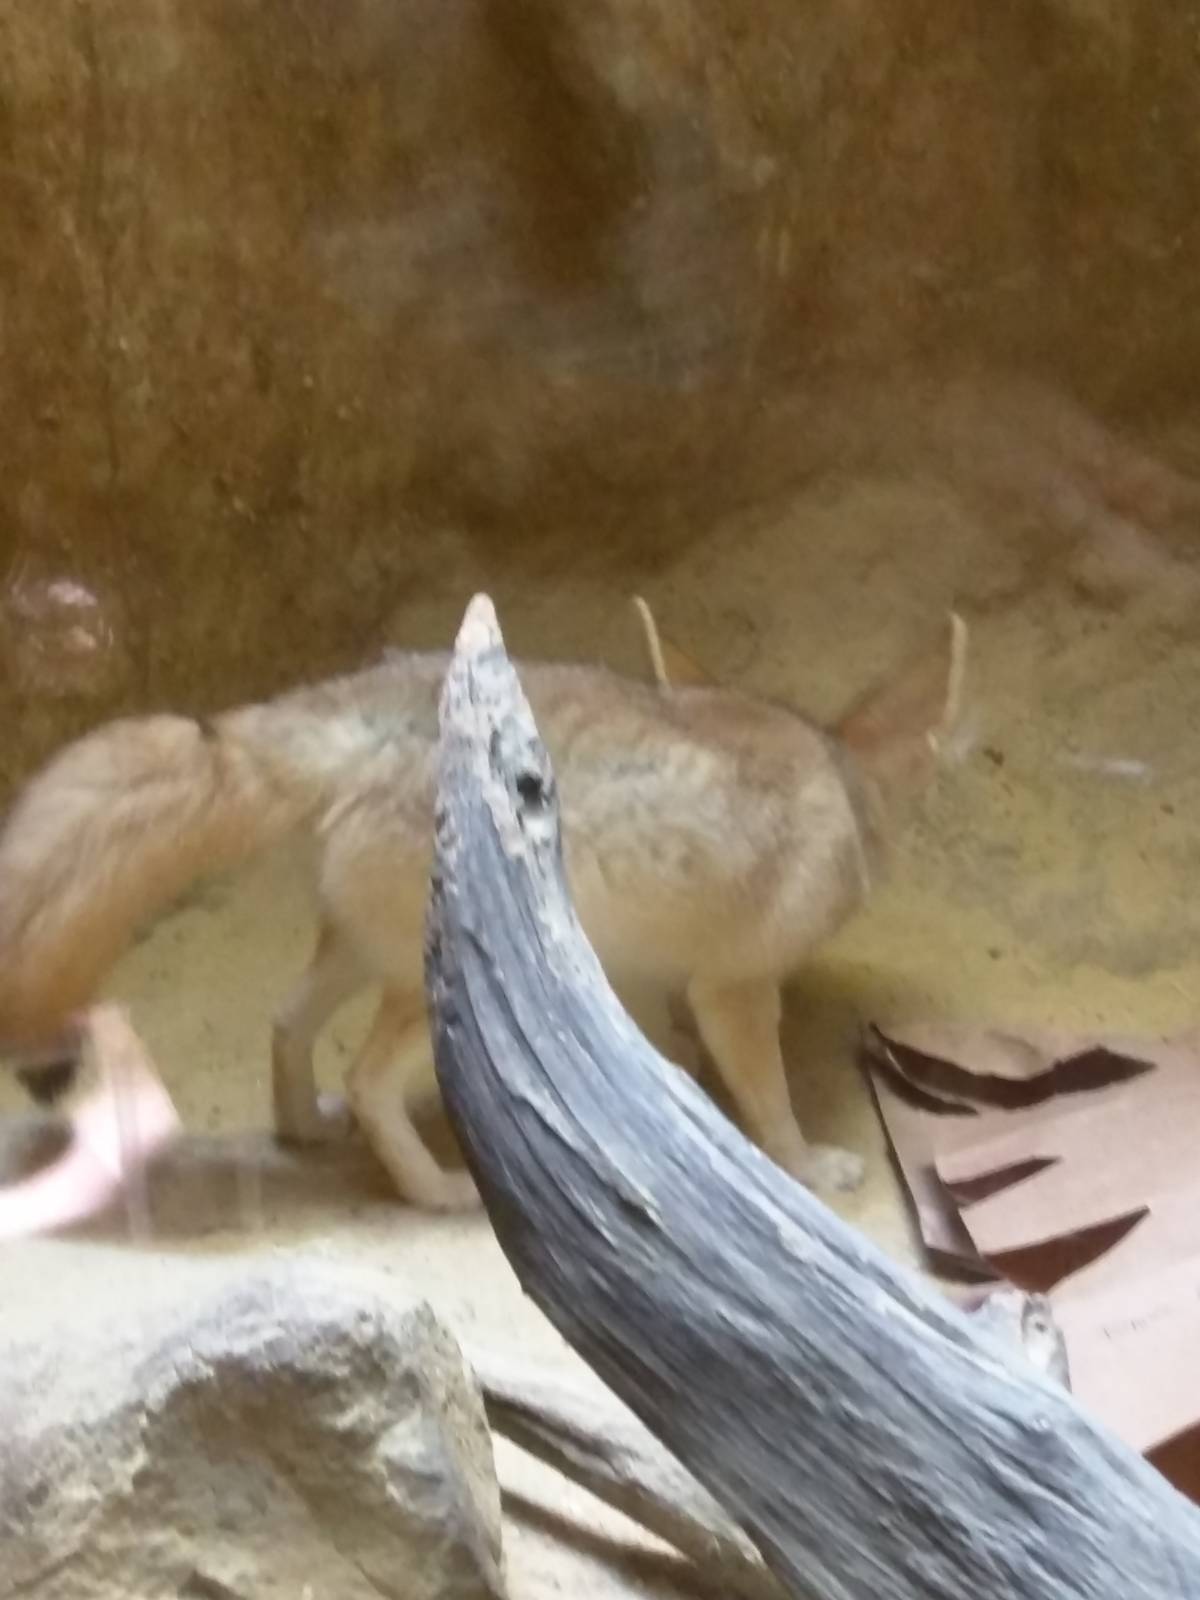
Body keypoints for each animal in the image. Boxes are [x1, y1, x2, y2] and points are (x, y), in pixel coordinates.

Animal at [0, 605, 966, 1211]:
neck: (837, 783)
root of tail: (343, 716)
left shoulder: (643, 968)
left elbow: (658, 1045)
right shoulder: (734, 985)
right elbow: (768, 1103)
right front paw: (805, 1164)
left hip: (361, 953)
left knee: (286, 1022)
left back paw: (304, 1129)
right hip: (427, 981)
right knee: (368, 1080)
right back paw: (432, 1191)